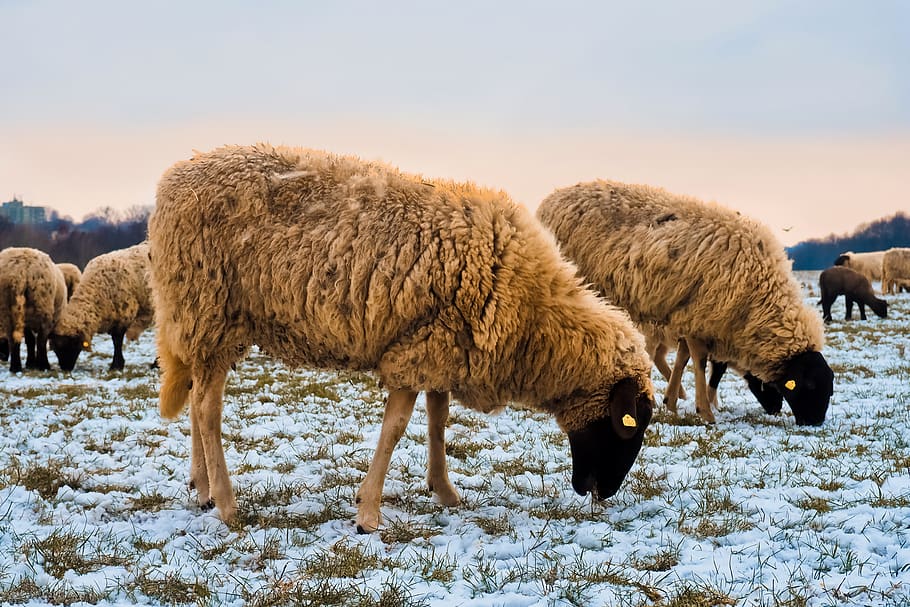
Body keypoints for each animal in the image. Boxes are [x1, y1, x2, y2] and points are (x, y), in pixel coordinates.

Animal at [50, 243, 154, 371]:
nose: (66, 369)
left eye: (71, 344)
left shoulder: (124, 315)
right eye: (55, 349)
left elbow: (117, 341)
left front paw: (116, 365)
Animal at [149, 143, 656, 532]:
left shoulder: (441, 345)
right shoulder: (416, 350)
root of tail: (173, 180)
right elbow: (396, 430)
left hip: (199, 324)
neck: (534, 315)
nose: (601, 494)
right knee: (207, 410)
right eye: (629, 428)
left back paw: (202, 490)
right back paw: (227, 504)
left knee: (194, 399)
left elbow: (438, 420)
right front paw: (368, 514)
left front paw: (444, 490)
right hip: (210, 310)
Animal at [537, 180, 833, 426]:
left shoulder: (689, 317)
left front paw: (671, 402)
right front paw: (705, 412)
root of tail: (550, 200)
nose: (815, 423)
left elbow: (683, 358)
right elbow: (699, 362)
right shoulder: (699, 315)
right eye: (809, 386)